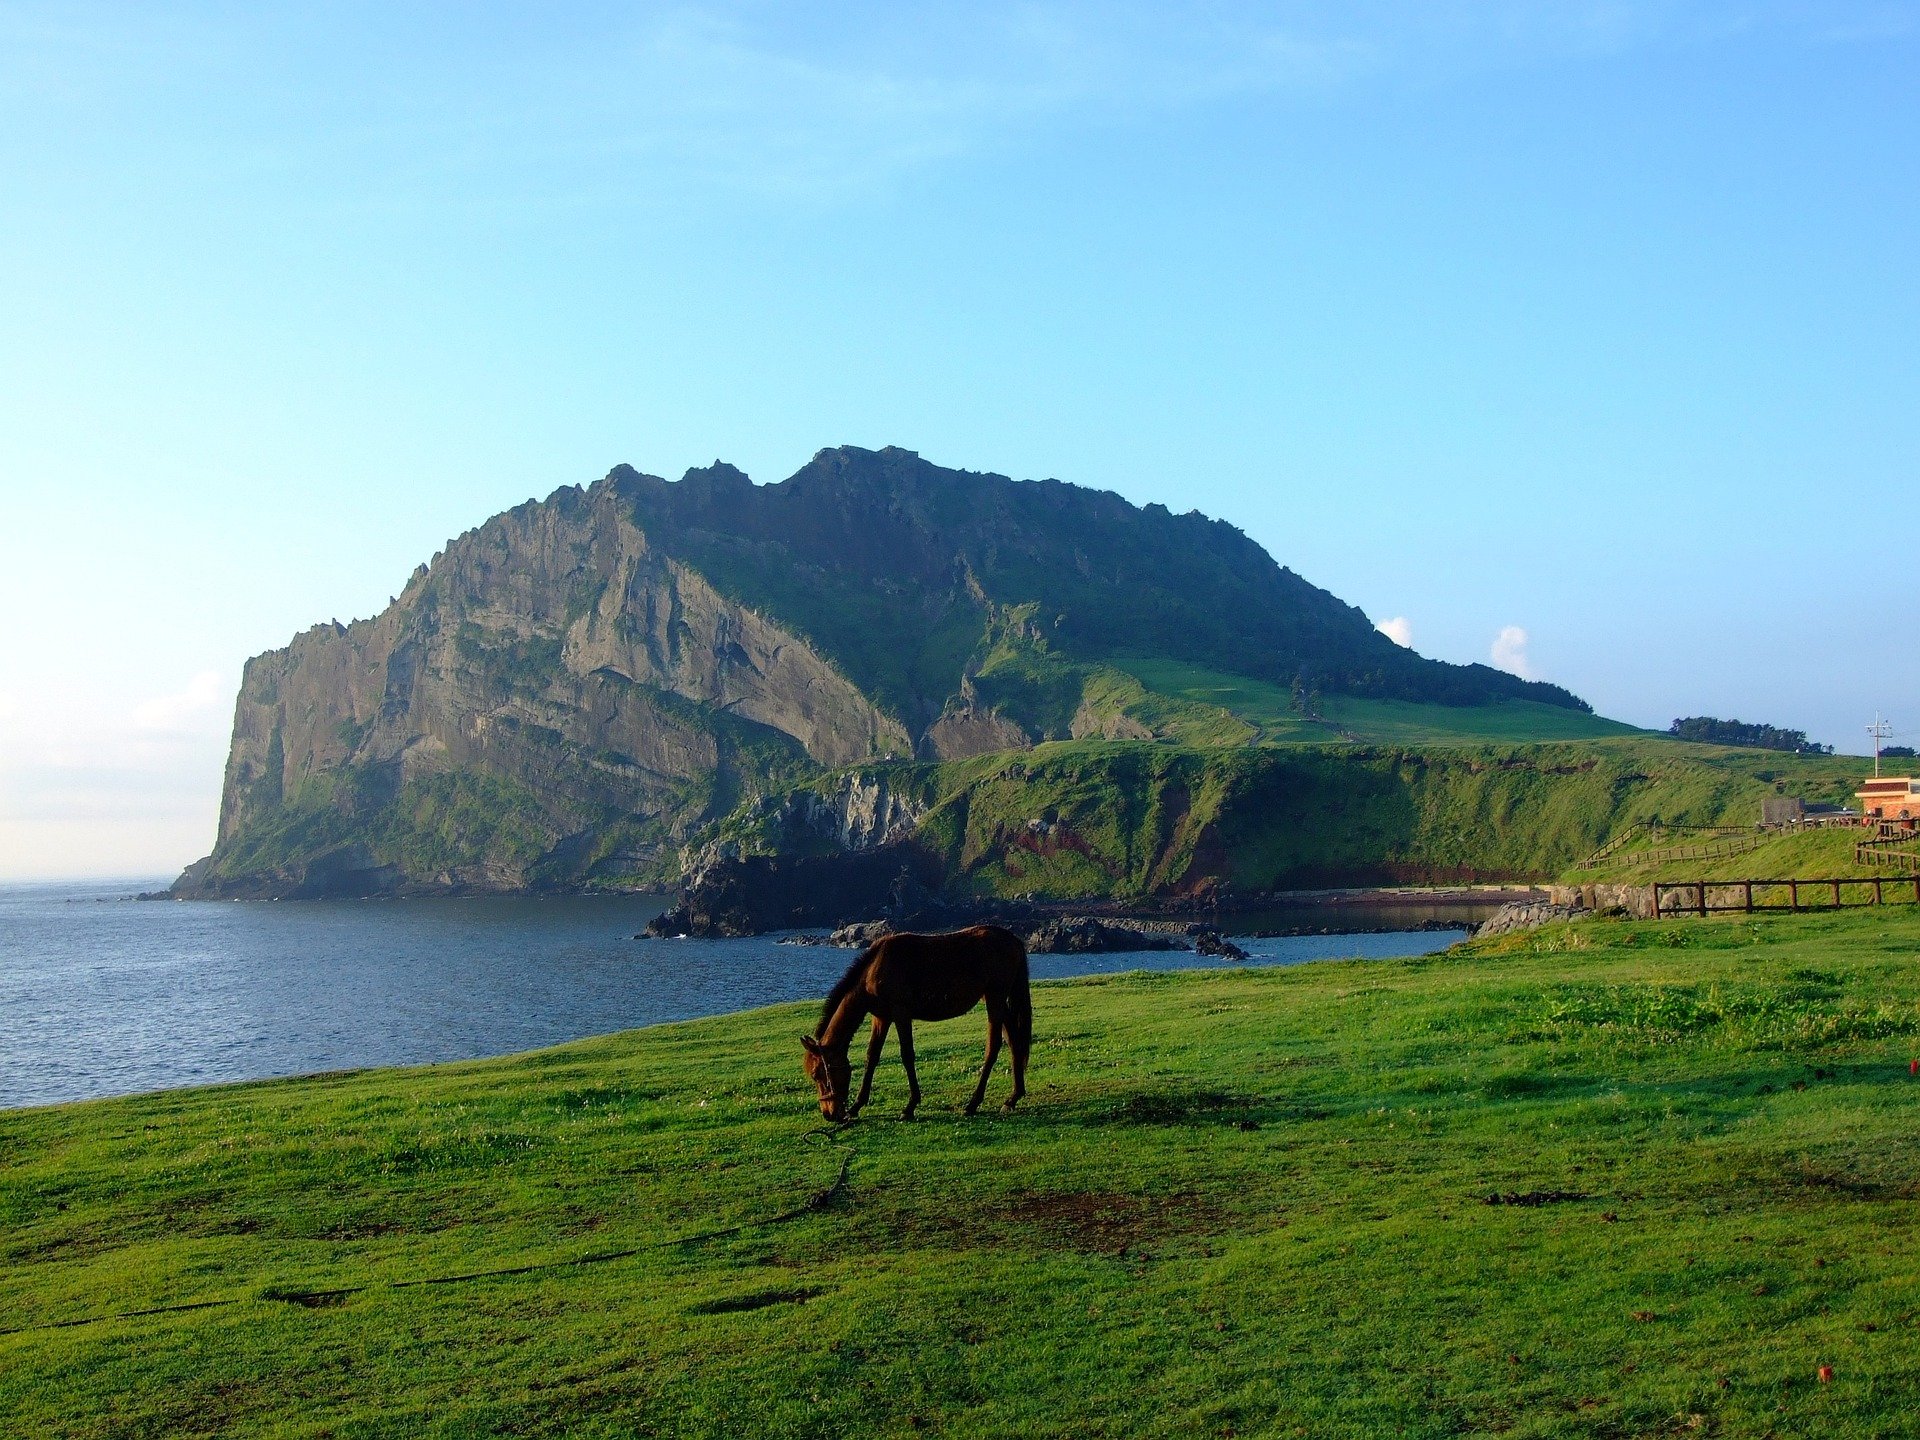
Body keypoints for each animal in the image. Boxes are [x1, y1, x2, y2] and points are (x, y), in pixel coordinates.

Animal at [798, 925, 1036, 1128]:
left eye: (818, 1074)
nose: (829, 1114)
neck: (874, 968)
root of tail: (1014, 940)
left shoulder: (901, 1013)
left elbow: (907, 1055)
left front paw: (910, 1106)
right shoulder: (881, 1017)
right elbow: (872, 1057)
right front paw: (857, 1105)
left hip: (995, 998)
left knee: (992, 1047)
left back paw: (973, 1103)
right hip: (996, 1001)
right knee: (1014, 1041)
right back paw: (1012, 1098)